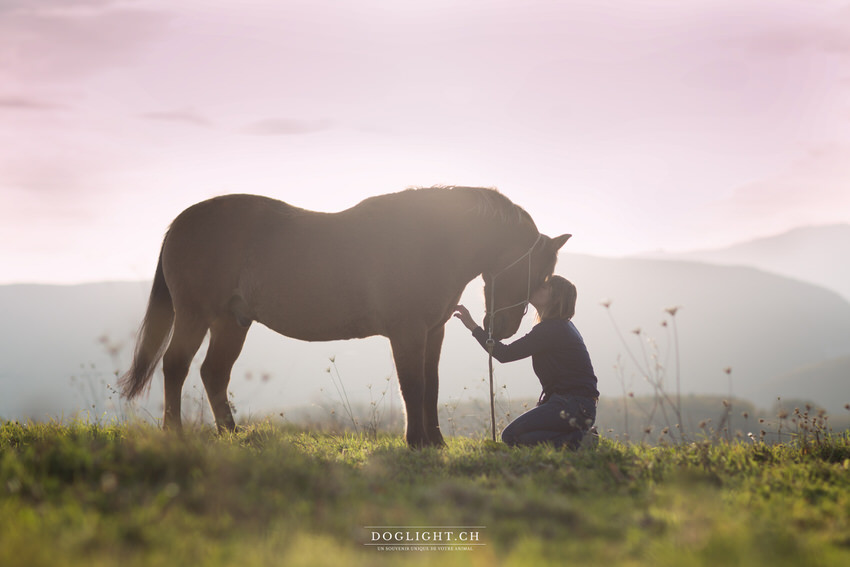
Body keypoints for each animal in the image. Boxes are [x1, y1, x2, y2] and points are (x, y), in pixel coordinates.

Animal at [119, 186, 570, 447]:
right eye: (534, 273)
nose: (502, 329)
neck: (429, 239)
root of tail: (179, 223)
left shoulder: (433, 331)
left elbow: (431, 387)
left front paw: (436, 441)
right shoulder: (408, 333)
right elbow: (413, 386)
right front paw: (416, 441)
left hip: (231, 322)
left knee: (213, 373)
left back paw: (231, 433)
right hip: (195, 315)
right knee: (176, 366)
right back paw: (175, 433)